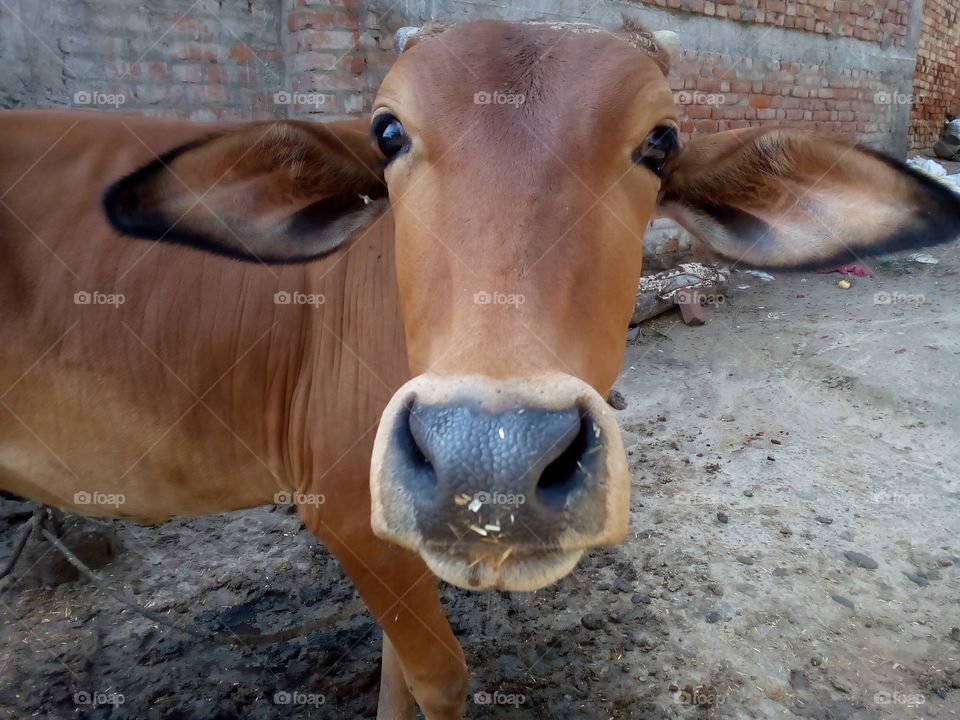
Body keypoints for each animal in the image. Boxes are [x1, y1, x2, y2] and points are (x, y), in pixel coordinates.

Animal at [2, 18, 958, 720]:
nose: (491, 457)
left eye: (661, 140)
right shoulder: (346, 516)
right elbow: (441, 677)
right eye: (387, 131)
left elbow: (402, 675)